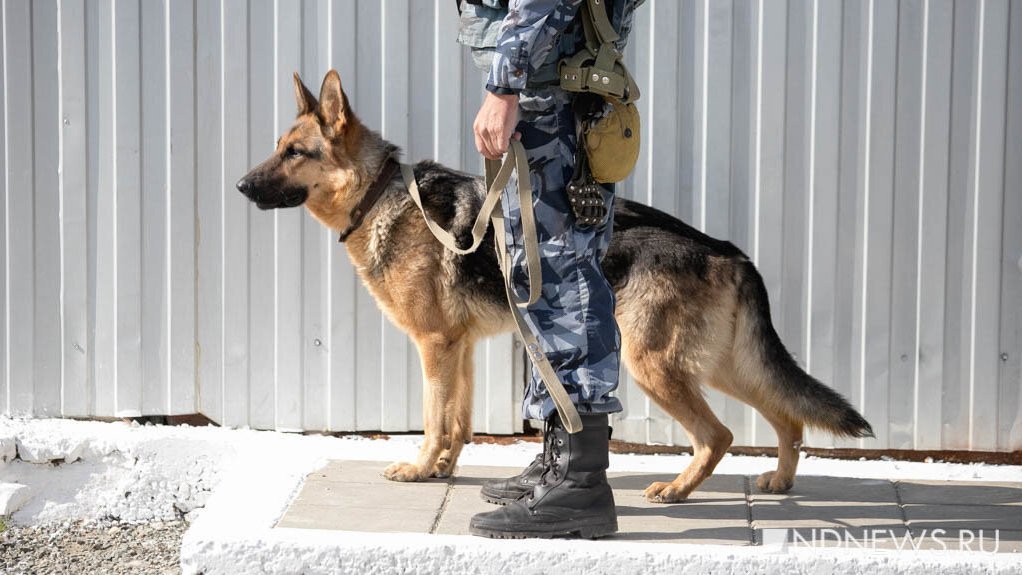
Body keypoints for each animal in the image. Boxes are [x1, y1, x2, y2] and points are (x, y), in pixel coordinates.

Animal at [237, 70, 870, 504]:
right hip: (719, 363)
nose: (240, 186)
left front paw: (418, 469)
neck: (378, 195)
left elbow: (434, 417)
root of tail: (726, 248)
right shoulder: (459, 348)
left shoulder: (434, 346)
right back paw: (780, 480)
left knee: (719, 434)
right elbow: (459, 420)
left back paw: (677, 489)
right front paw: (443, 469)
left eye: (295, 153)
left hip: (656, 365)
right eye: (277, 147)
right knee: (787, 413)